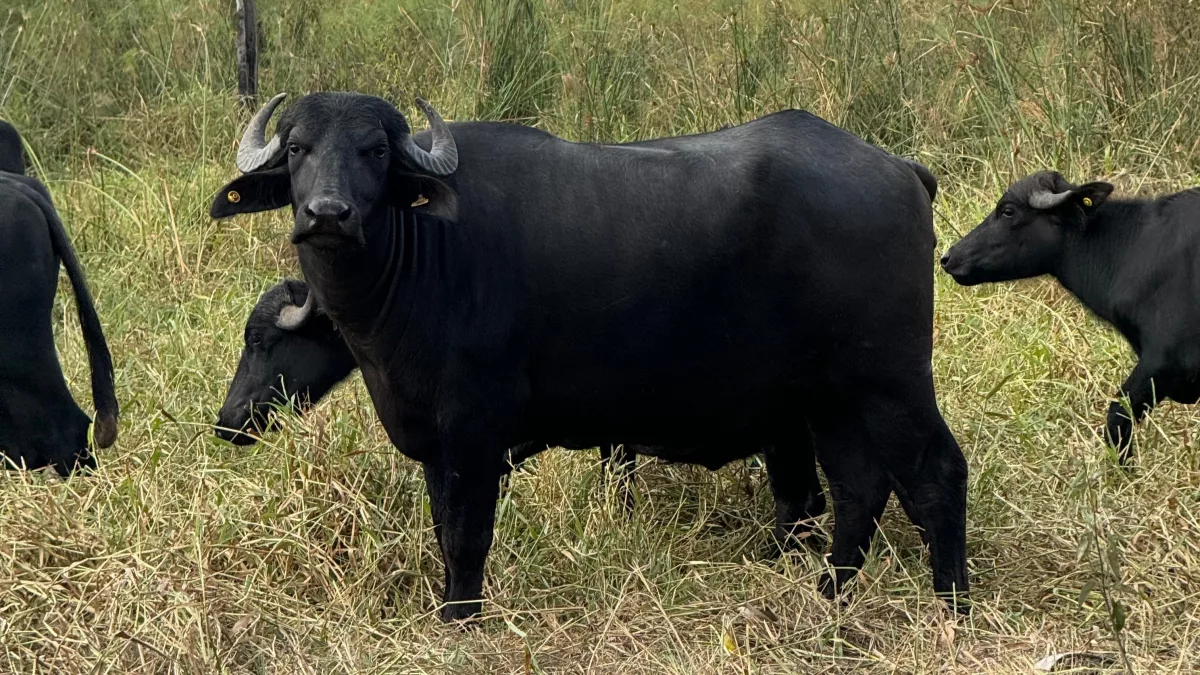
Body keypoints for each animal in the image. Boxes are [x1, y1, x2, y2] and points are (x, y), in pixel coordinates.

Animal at [210, 92, 968, 620]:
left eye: (373, 151)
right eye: (299, 147)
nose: (327, 215)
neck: (419, 259)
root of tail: (899, 170)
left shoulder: (477, 435)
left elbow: (468, 535)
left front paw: (460, 619)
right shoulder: (437, 444)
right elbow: (445, 528)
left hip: (891, 382)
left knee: (935, 475)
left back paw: (951, 602)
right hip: (830, 401)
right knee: (856, 489)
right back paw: (828, 593)